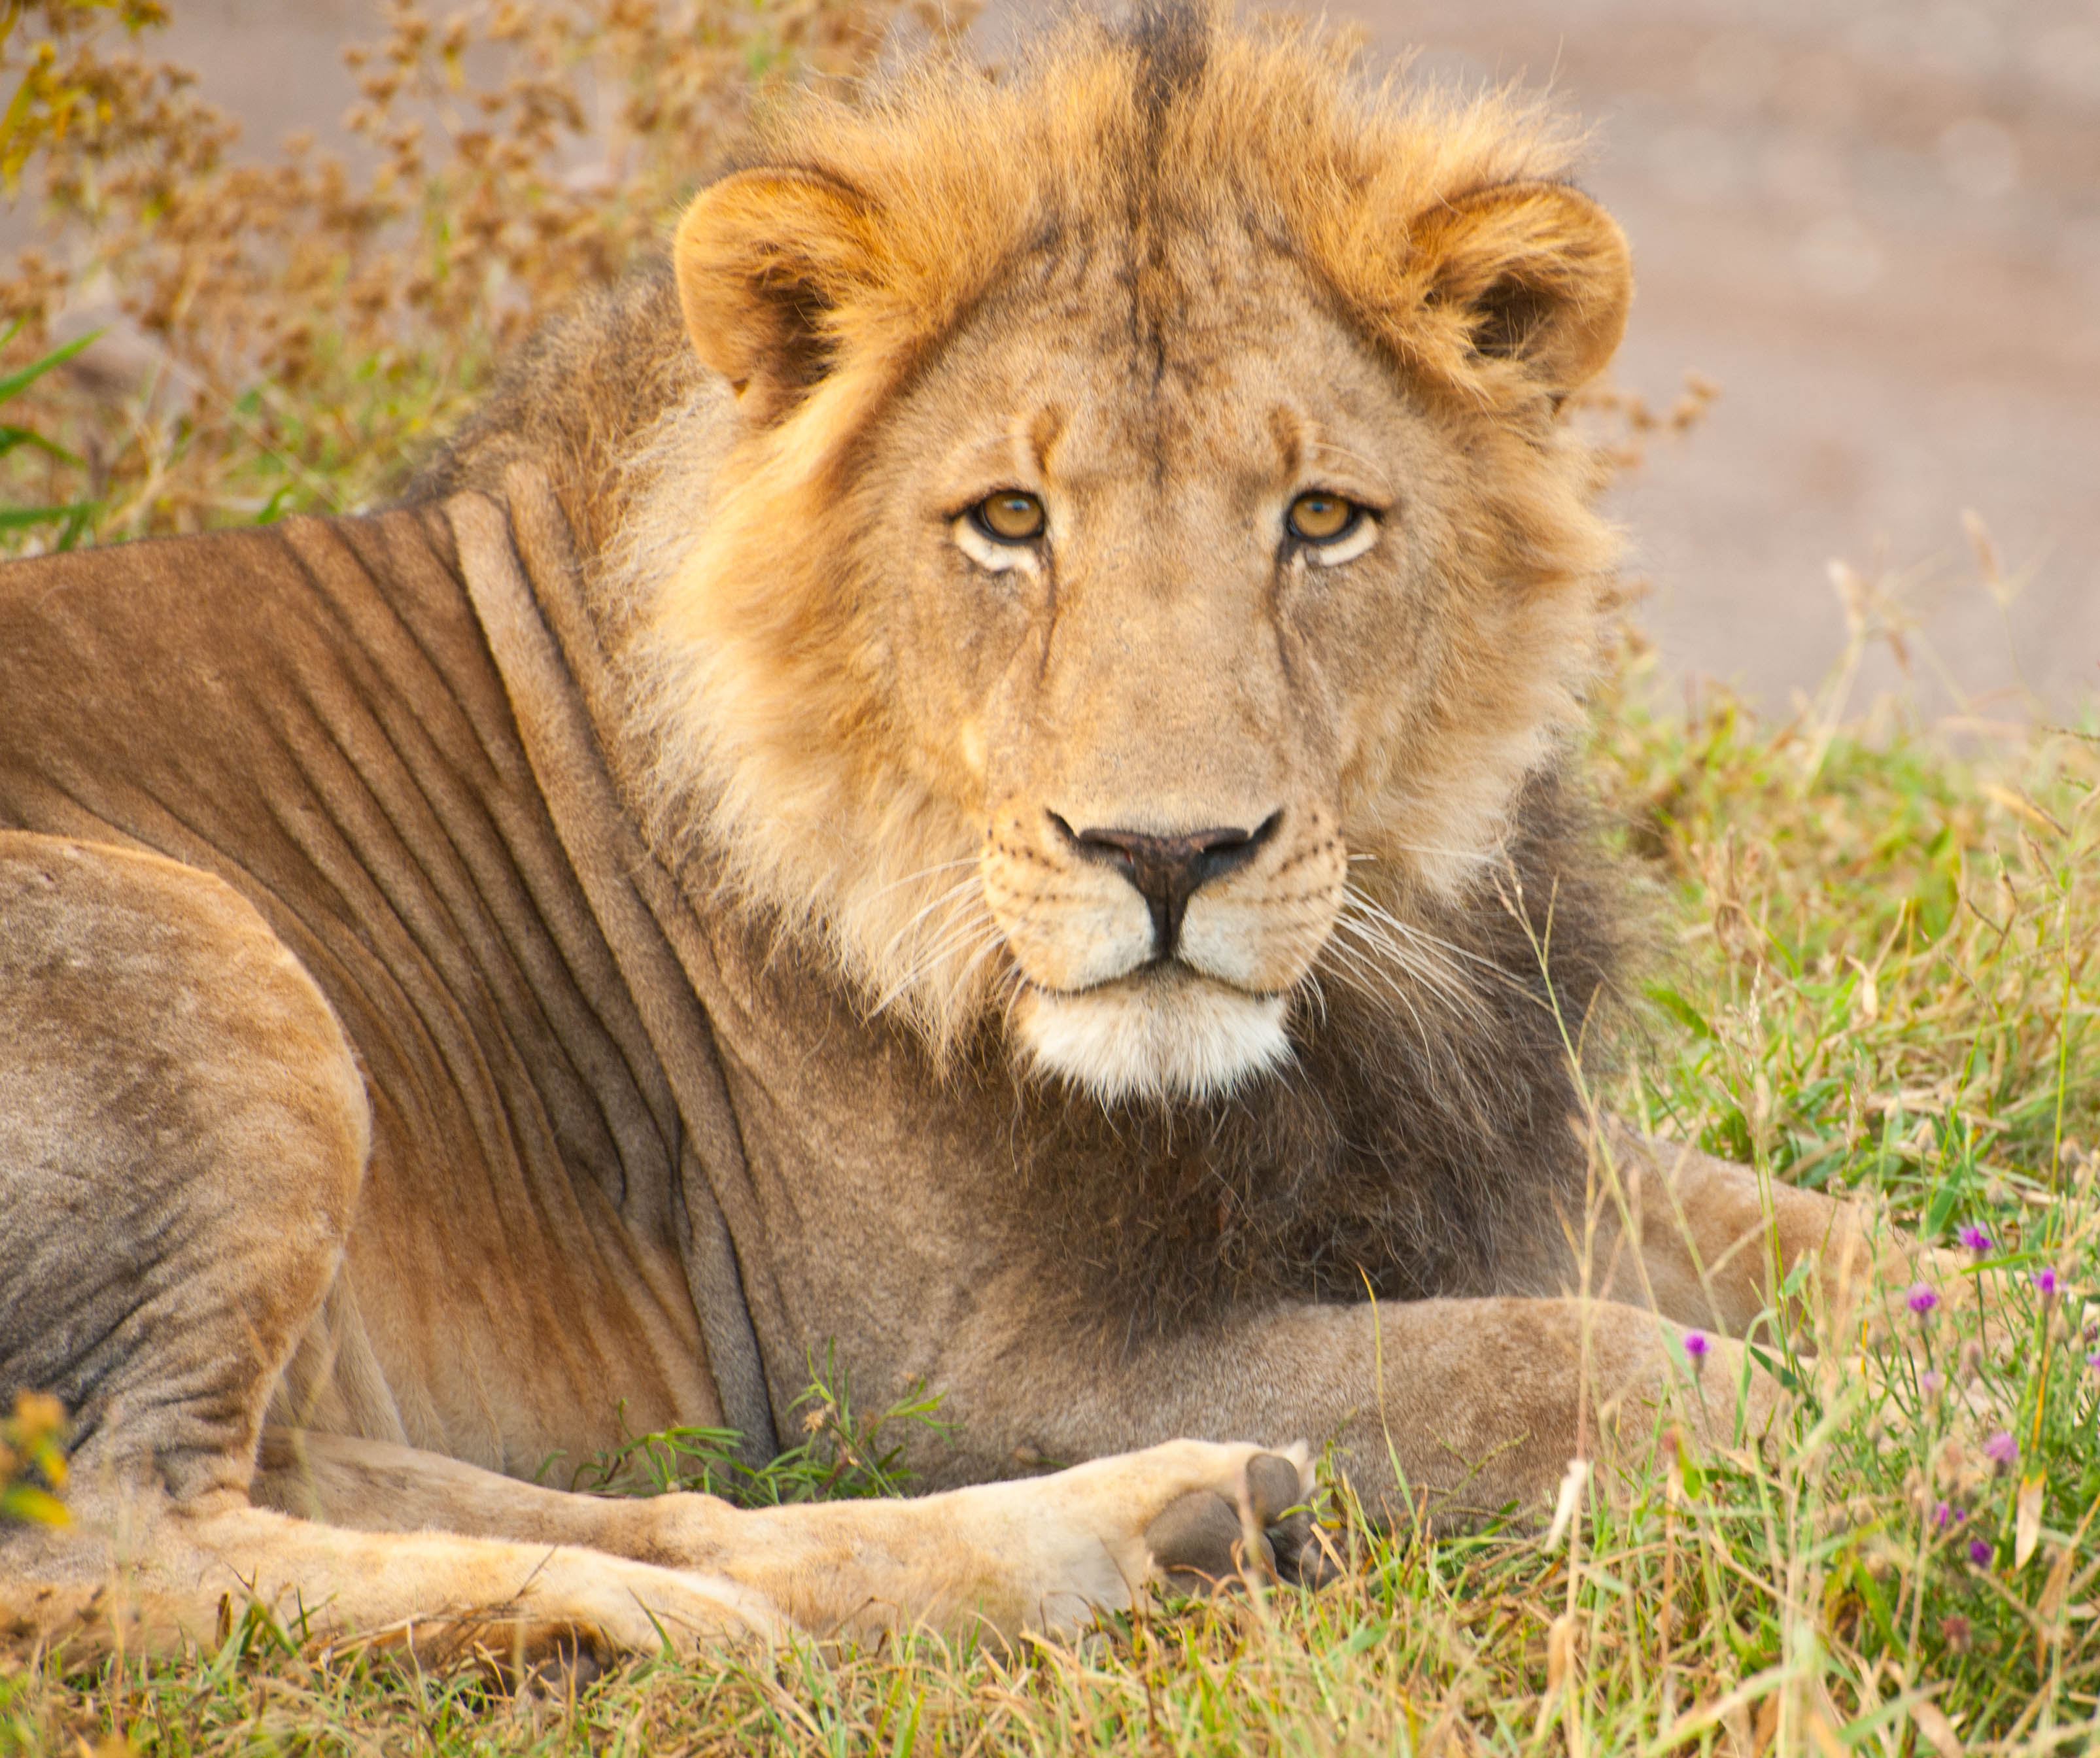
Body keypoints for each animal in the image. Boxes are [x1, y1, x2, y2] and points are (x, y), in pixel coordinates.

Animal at [0, 7, 1932, 1663]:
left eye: (1322, 521)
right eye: (1007, 520)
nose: (1167, 856)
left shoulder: (1477, 1151)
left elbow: (1841, 1252)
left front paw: (1963, 1367)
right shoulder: (947, 1371)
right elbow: (1586, 1369)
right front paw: (1882, 1460)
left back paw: (1162, 1533)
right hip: (198, 967)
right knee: (117, 1537)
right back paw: (629, 1621)